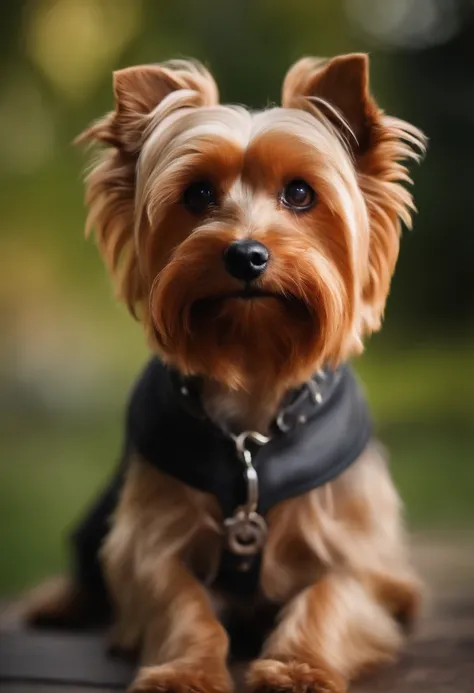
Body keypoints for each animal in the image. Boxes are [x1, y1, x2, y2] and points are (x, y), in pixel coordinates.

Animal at [23, 54, 426, 692]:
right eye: (198, 194)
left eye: (300, 192)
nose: (246, 254)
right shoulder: (152, 534)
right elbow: (179, 599)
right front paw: (184, 671)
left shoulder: (356, 544)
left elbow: (330, 594)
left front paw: (298, 668)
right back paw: (57, 601)